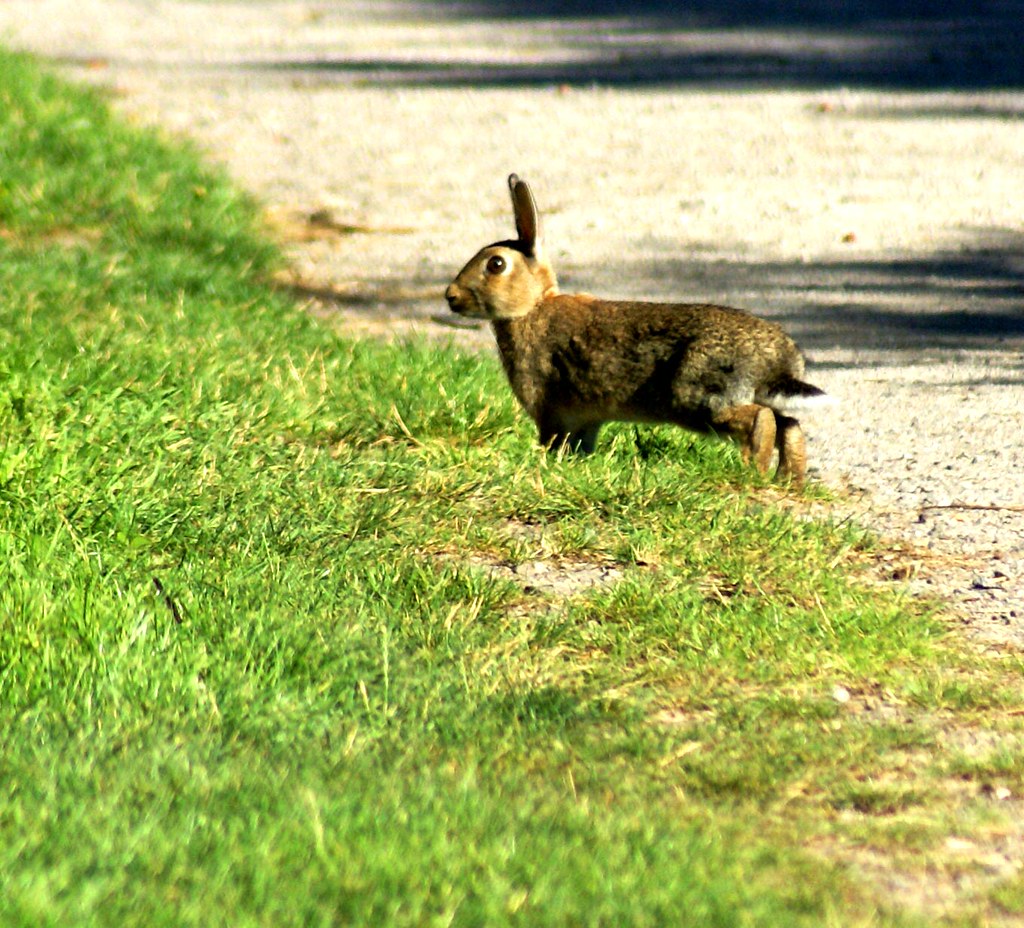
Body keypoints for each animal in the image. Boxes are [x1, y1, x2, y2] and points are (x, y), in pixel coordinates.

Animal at [444, 174, 832, 486]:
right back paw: (789, 481)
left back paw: (754, 471)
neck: (531, 307)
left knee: (761, 421)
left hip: (699, 395)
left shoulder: (550, 409)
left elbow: (552, 438)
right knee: (790, 424)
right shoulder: (585, 419)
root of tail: (777, 359)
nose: (450, 297)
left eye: (496, 265)